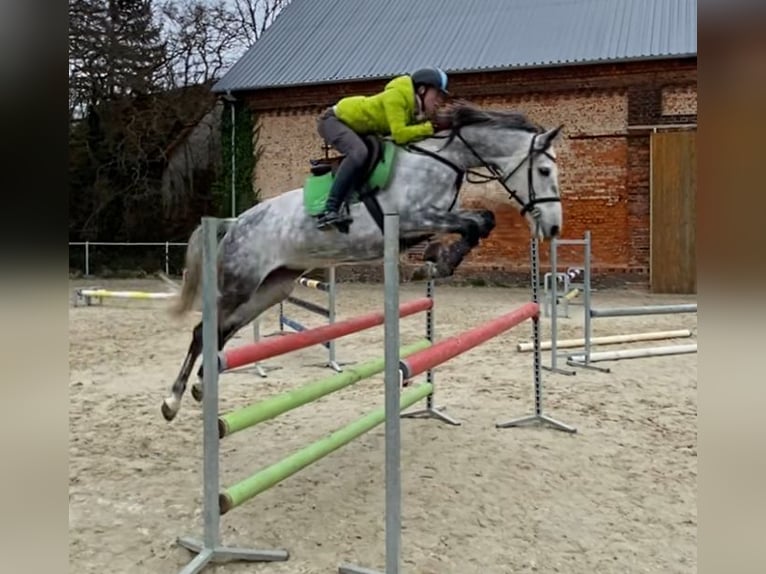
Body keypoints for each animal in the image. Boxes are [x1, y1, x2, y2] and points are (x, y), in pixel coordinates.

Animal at [162, 103, 568, 420]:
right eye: (544, 171)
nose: (553, 227)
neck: (446, 160)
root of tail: (233, 224)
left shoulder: (425, 224)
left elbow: (481, 222)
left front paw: (437, 263)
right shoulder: (413, 218)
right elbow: (475, 223)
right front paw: (437, 265)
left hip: (272, 288)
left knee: (220, 332)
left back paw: (201, 387)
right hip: (240, 283)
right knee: (203, 330)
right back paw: (173, 400)